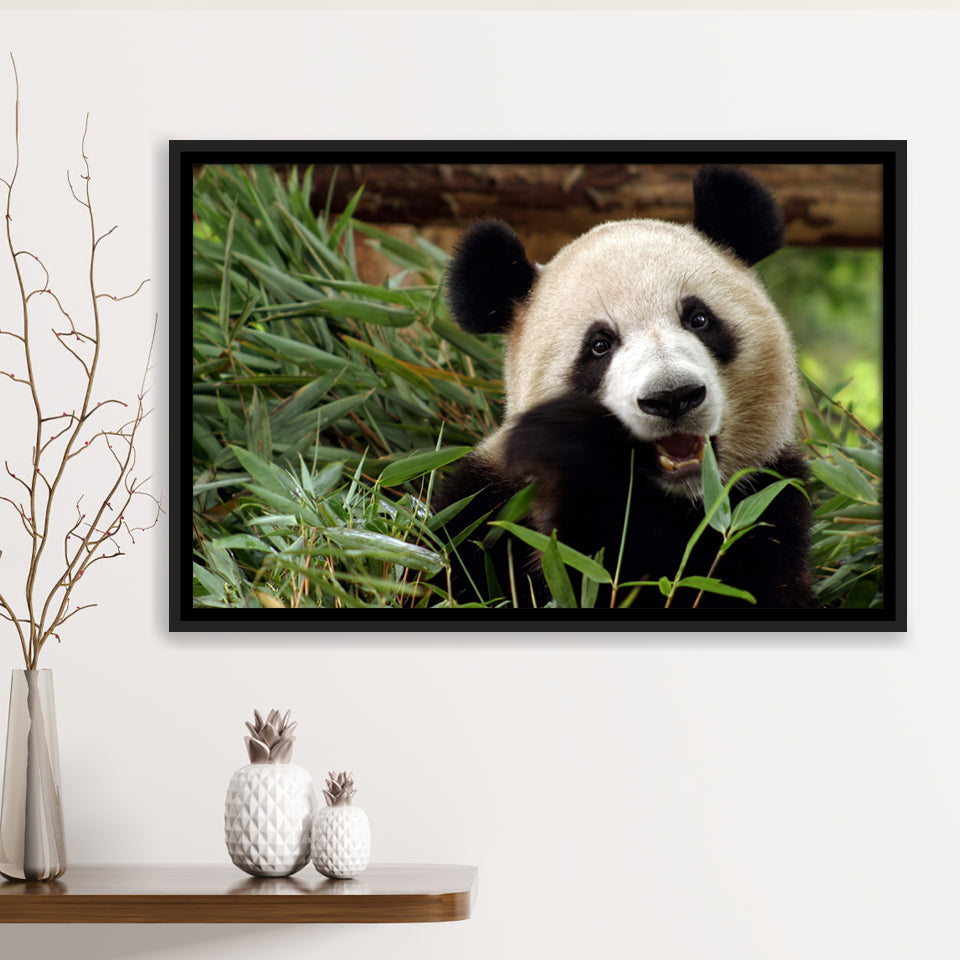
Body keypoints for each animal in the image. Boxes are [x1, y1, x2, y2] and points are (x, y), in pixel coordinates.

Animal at [435, 166, 814, 609]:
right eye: (599, 345)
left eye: (699, 319)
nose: (672, 397)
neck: (678, 500)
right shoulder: (489, 509)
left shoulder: (766, 503)